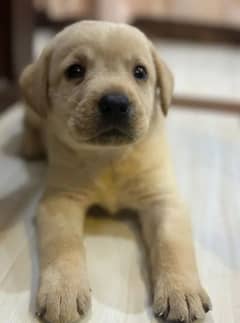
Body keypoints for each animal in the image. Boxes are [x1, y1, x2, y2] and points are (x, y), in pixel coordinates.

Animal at [19, 20, 211, 323]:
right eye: (75, 71)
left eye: (140, 72)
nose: (116, 103)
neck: (110, 158)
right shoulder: (60, 201)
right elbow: (63, 245)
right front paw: (63, 290)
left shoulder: (164, 200)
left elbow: (172, 244)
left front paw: (181, 291)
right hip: (33, 109)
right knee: (30, 122)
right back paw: (29, 145)